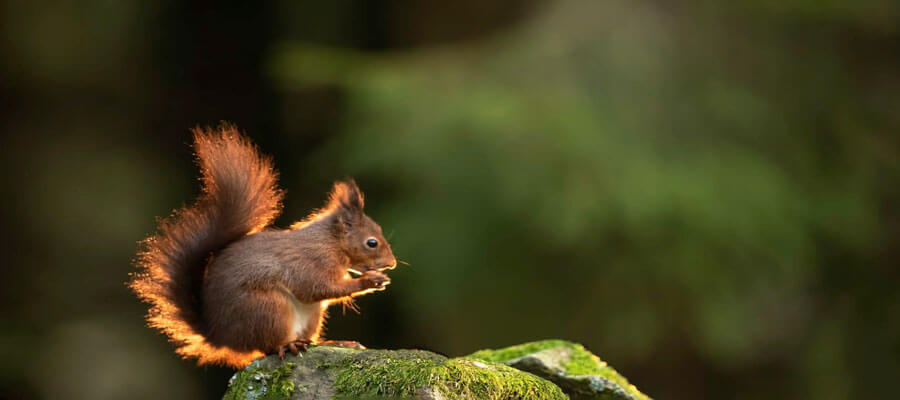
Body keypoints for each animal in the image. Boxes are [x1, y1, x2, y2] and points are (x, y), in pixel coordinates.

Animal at [128, 123, 396, 368]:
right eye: (371, 243)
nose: (392, 264)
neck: (331, 242)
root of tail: (221, 336)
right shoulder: (311, 262)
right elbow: (318, 288)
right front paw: (369, 281)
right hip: (269, 308)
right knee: (267, 347)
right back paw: (288, 345)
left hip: (311, 316)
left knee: (307, 339)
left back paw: (333, 342)